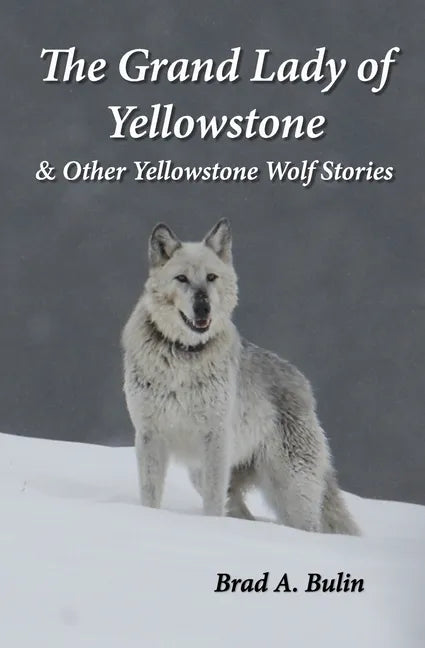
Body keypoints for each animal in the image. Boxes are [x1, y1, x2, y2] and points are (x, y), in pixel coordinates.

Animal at [122, 219, 360, 535]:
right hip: (204, 473)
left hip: (291, 490)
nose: (203, 307)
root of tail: (304, 385)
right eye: (181, 278)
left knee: (307, 525)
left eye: (211, 277)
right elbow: (150, 498)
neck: (184, 357)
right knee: (243, 513)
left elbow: (212, 507)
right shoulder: (150, 436)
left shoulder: (215, 439)